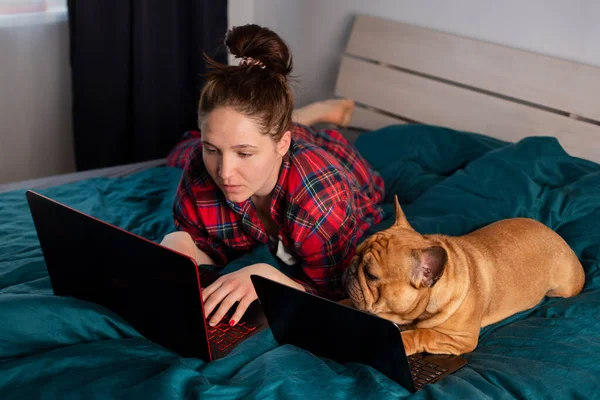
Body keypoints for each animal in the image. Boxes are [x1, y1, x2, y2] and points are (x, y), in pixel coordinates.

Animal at [342, 195, 584, 354]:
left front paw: (404, 341)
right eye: (355, 252)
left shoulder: (460, 339)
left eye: (371, 275)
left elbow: (423, 334)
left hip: (562, 289)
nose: (351, 269)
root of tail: (558, 237)